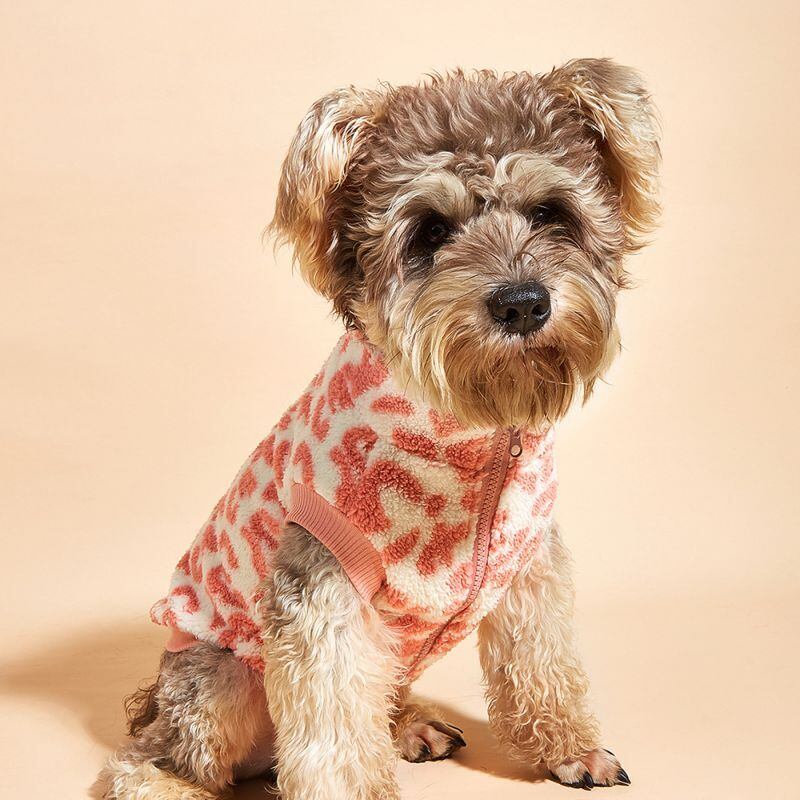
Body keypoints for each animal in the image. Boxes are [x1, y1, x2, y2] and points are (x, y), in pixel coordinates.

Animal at [101, 58, 660, 800]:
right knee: (157, 755)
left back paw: (409, 725)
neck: (481, 431)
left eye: (550, 213)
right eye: (430, 231)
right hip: (219, 682)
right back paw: (168, 779)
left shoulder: (531, 567)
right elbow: (331, 719)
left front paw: (568, 748)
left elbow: (543, 665)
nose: (522, 302)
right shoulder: (321, 584)